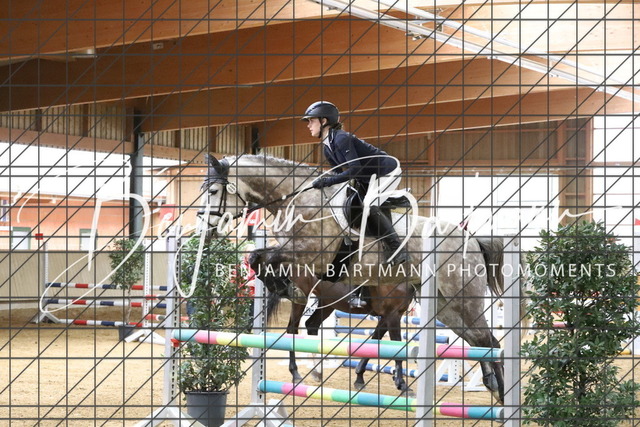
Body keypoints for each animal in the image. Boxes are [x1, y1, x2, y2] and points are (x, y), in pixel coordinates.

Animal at [199, 153, 506, 402]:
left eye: (213, 190)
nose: (204, 229)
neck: (299, 199)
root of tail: (473, 240)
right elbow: (257, 257)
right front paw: (283, 285)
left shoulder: (313, 254)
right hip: (447, 306)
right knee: (481, 342)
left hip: (462, 299)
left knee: (489, 342)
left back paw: (501, 394)